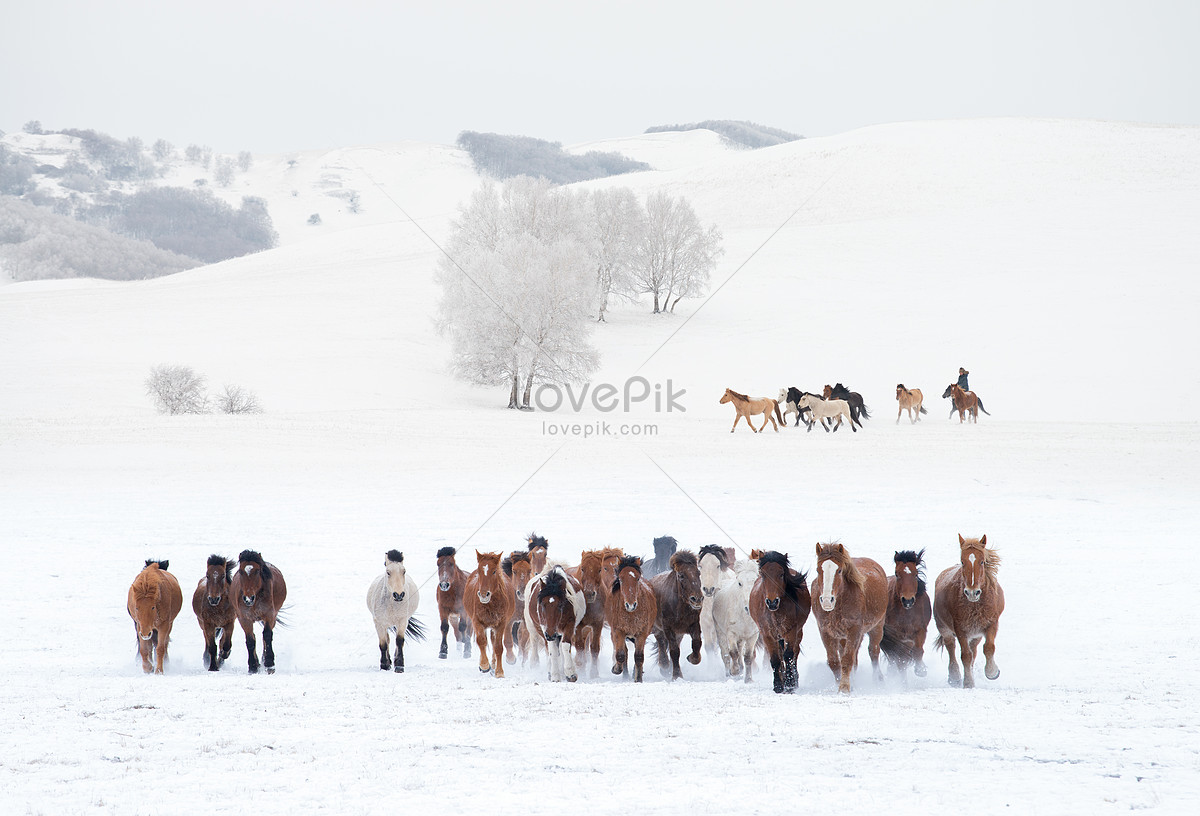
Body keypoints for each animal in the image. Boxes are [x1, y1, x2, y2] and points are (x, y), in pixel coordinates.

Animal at [230, 547, 286, 676]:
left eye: (257, 571)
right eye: (241, 571)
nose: (248, 598)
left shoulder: (269, 615)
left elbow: (267, 635)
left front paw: (270, 664)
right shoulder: (244, 618)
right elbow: (250, 640)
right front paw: (253, 667)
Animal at [748, 552, 816, 691]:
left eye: (781, 574)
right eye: (763, 574)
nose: (772, 602)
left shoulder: (791, 631)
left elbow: (788, 655)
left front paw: (790, 684)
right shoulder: (767, 634)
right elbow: (775, 659)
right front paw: (779, 685)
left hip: (798, 632)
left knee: (794, 653)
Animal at [811, 542, 888, 696]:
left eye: (839, 570)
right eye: (818, 570)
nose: (827, 600)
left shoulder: (854, 630)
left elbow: (847, 660)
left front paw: (844, 688)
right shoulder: (825, 631)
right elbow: (835, 662)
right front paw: (842, 684)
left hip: (876, 627)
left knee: (873, 651)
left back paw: (878, 679)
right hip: (842, 637)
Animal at [931, 535, 1008, 686]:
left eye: (982, 561)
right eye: (962, 561)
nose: (972, 592)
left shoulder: (991, 624)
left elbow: (988, 648)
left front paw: (992, 672)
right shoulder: (960, 629)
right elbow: (965, 656)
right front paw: (968, 683)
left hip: (975, 634)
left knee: (974, 651)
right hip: (944, 628)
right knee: (951, 647)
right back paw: (954, 677)